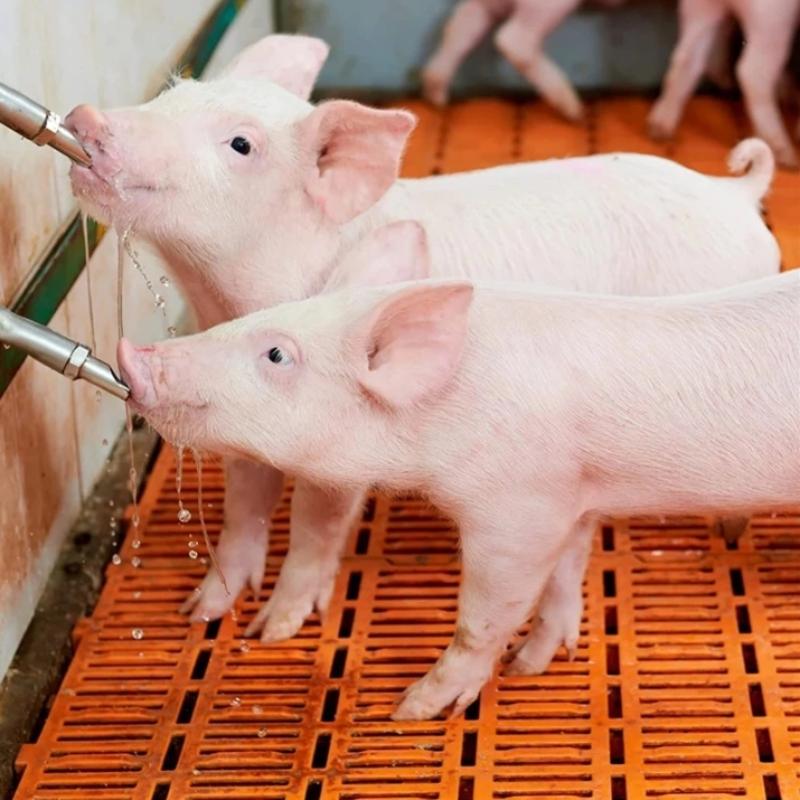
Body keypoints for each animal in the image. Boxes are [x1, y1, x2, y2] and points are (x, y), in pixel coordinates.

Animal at [64, 34, 780, 648]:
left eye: (241, 144)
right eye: (173, 93)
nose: (87, 116)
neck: (227, 291)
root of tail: (736, 192)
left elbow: (316, 523)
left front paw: (274, 631)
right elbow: (245, 501)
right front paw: (202, 612)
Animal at [117, 222, 800, 720]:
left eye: (277, 353)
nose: (133, 353)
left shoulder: (518, 508)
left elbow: (484, 615)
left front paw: (412, 709)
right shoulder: (573, 490)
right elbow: (566, 575)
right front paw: (533, 663)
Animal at [649, 0, 800, 169]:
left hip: (698, 9)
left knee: (685, 58)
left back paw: (660, 131)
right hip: (773, 18)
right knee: (751, 72)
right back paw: (787, 158)